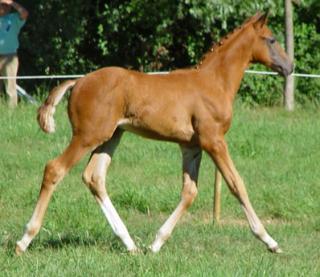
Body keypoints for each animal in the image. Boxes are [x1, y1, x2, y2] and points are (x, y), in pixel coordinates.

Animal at [16, 13, 292, 254]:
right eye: (271, 39)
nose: (290, 66)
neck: (214, 82)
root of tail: (78, 81)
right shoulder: (213, 140)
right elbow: (236, 184)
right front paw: (270, 241)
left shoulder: (191, 146)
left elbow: (189, 192)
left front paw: (156, 243)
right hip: (87, 136)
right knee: (55, 169)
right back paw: (24, 240)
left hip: (111, 137)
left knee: (94, 177)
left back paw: (130, 244)